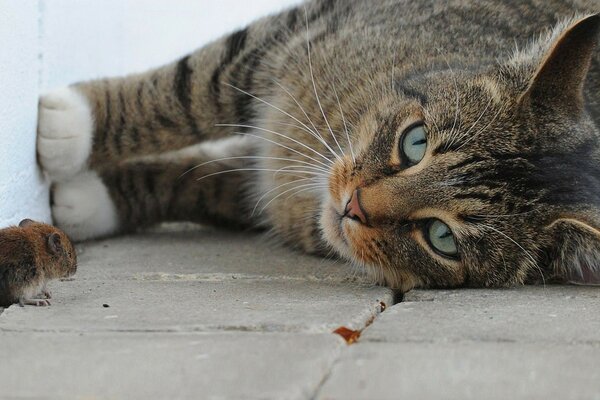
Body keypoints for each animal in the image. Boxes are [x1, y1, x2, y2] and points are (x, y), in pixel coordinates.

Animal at [37, 0, 600, 294]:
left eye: (442, 238)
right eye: (414, 142)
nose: (353, 206)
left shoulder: (263, 195)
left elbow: (197, 183)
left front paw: (86, 198)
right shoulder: (298, 31)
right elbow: (190, 86)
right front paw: (77, 122)